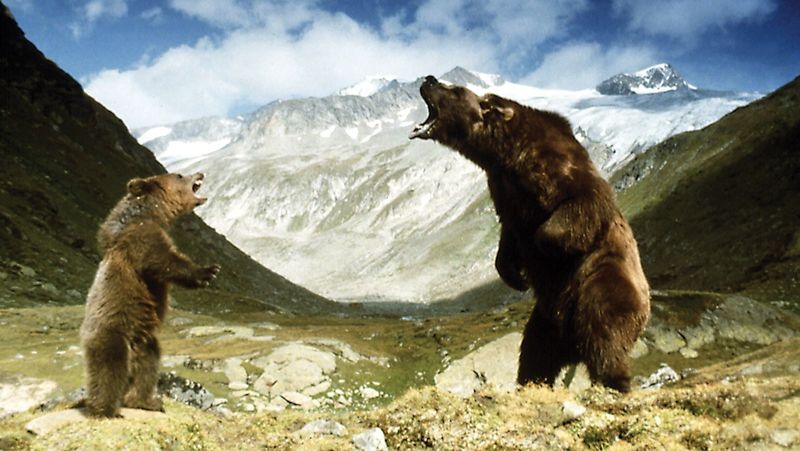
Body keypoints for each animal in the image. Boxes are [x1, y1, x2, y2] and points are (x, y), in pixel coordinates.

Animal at [78, 172, 220, 417]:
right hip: (111, 333)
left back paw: (147, 401)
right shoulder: (142, 237)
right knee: (109, 369)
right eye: (179, 175)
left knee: (148, 365)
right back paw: (105, 409)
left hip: (144, 339)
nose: (200, 173)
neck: (153, 213)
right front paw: (208, 271)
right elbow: (163, 261)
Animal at [410, 76, 650, 392]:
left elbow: (580, 203)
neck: (504, 153)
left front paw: (541, 252)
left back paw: (614, 382)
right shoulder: (504, 191)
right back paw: (532, 382)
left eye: (455, 89)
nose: (428, 79)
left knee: (604, 335)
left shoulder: (559, 168)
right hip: (544, 322)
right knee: (535, 353)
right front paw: (517, 276)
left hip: (603, 284)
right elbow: (508, 236)